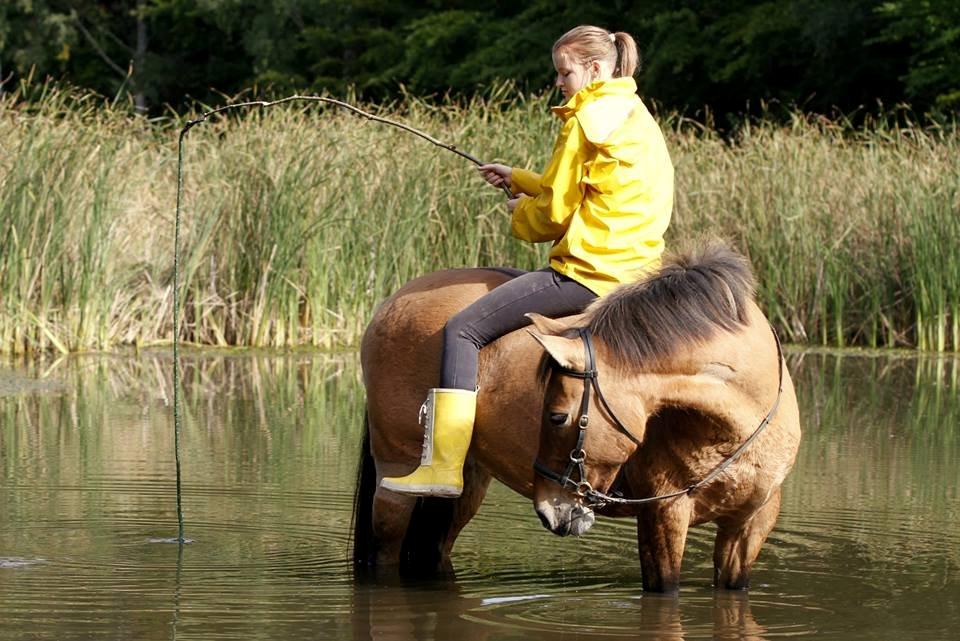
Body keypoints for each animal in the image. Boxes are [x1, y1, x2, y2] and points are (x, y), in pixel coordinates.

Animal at [352, 244, 804, 592]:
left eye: (556, 416)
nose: (549, 511)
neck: (729, 429)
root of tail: (395, 301)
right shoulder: (664, 515)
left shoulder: (752, 522)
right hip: (397, 472)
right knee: (385, 551)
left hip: (467, 483)